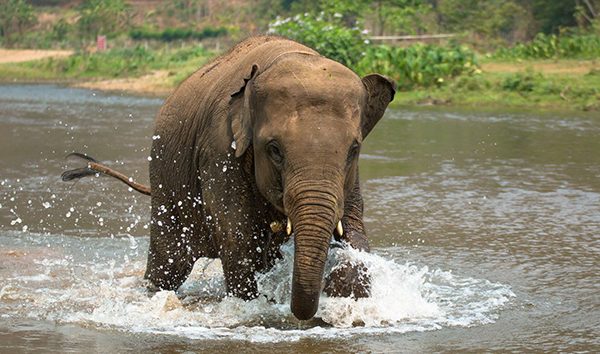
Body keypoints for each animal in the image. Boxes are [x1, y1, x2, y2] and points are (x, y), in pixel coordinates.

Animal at [63, 36, 396, 320]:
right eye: (274, 149)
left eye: (354, 149)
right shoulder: (219, 151)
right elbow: (240, 240)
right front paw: (253, 305)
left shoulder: (350, 178)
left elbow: (355, 229)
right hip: (164, 181)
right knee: (169, 262)